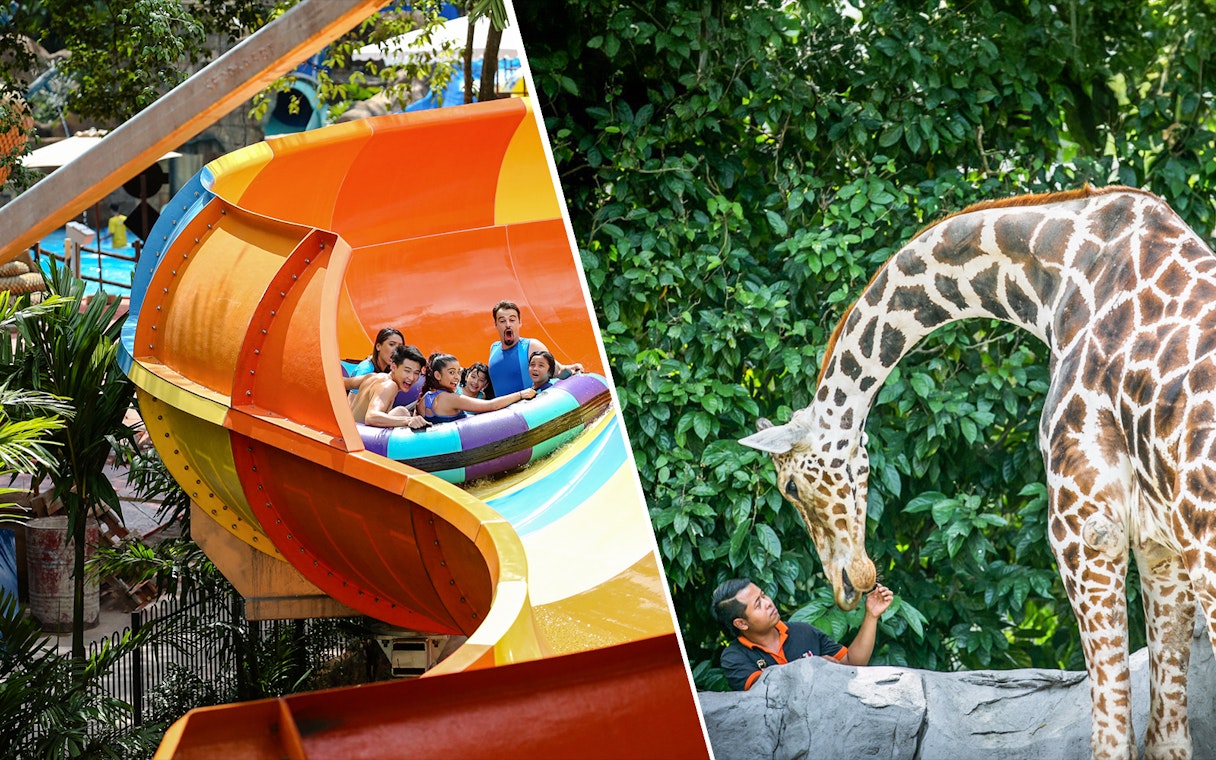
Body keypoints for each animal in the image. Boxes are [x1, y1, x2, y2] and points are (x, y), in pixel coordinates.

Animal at [739, 185, 1216, 760]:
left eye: (789, 486)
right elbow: (1167, 738)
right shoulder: (1159, 546)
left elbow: (1111, 738)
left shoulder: (1086, 527)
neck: (1056, 277)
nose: (848, 585)